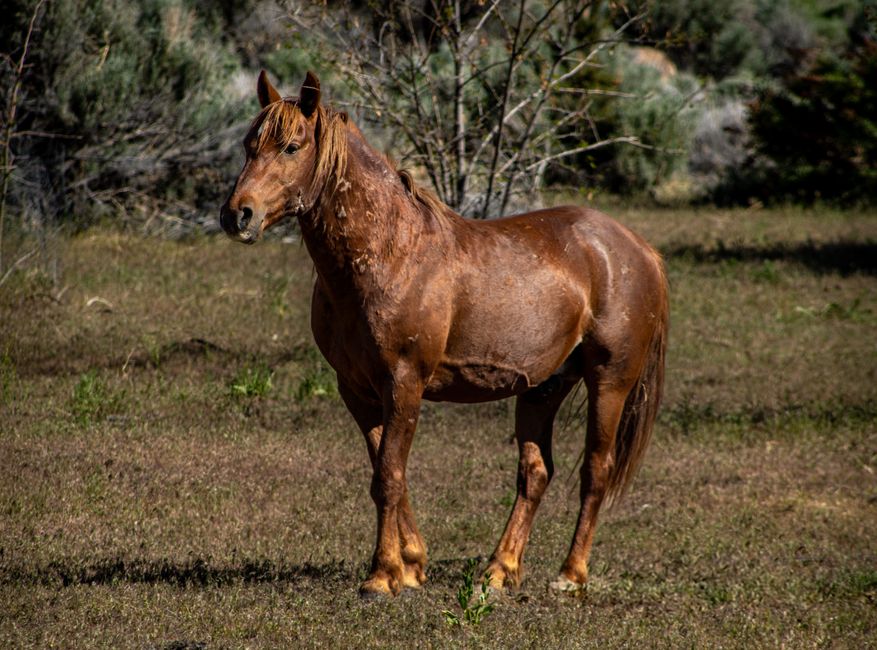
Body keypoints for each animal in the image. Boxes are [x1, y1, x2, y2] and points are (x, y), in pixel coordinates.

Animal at [220, 71, 669, 598]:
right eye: (249, 144)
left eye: (291, 146)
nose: (237, 215)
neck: (390, 252)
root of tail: (638, 249)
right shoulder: (357, 390)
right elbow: (385, 472)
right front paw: (411, 565)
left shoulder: (404, 383)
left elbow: (388, 476)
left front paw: (381, 576)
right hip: (543, 388)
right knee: (535, 474)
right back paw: (499, 570)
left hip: (609, 382)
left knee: (595, 471)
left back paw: (569, 575)